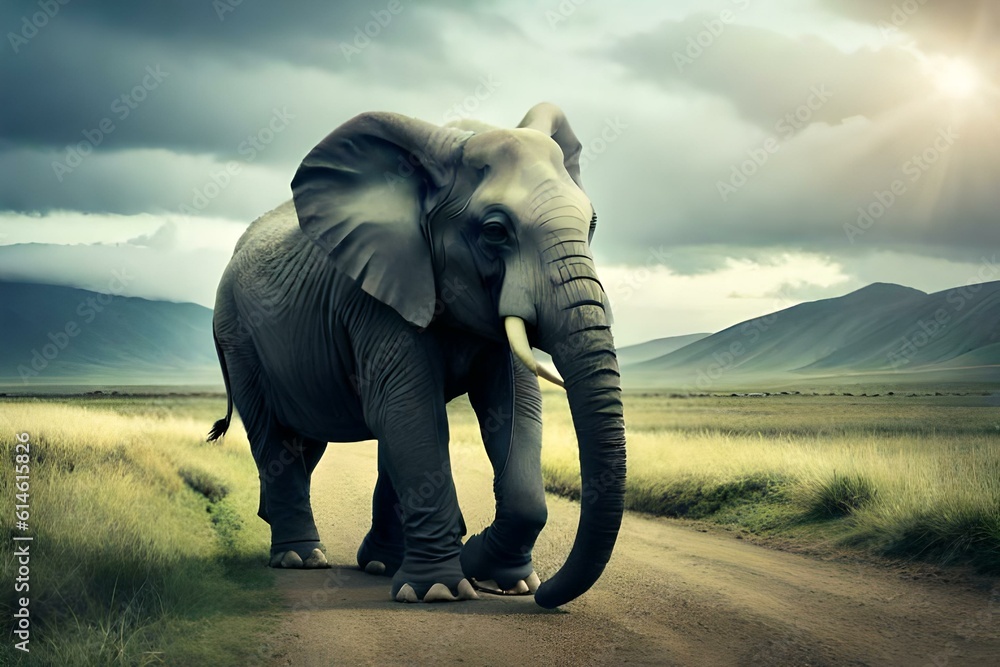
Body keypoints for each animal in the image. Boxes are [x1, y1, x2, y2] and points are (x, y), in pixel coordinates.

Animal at [207, 102, 626, 609]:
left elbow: (514, 410)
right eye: (494, 231)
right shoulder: (375, 295)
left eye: (592, 225)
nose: (545, 597)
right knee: (275, 433)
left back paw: (374, 562)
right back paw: (301, 559)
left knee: (311, 441)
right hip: (237, 335)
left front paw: (510, 583)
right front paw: (442, 590)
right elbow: (409, 410)